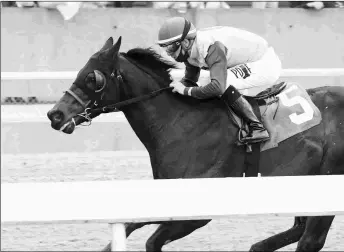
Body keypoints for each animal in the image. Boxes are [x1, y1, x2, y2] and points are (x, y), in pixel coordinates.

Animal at [46, 36, 344, 252]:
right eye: (80, 71)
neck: (182, 123)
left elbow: (152, 240)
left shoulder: (198, 211)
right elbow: (131, 224)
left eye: (93, 78)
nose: (55, 114)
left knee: (310, 241)